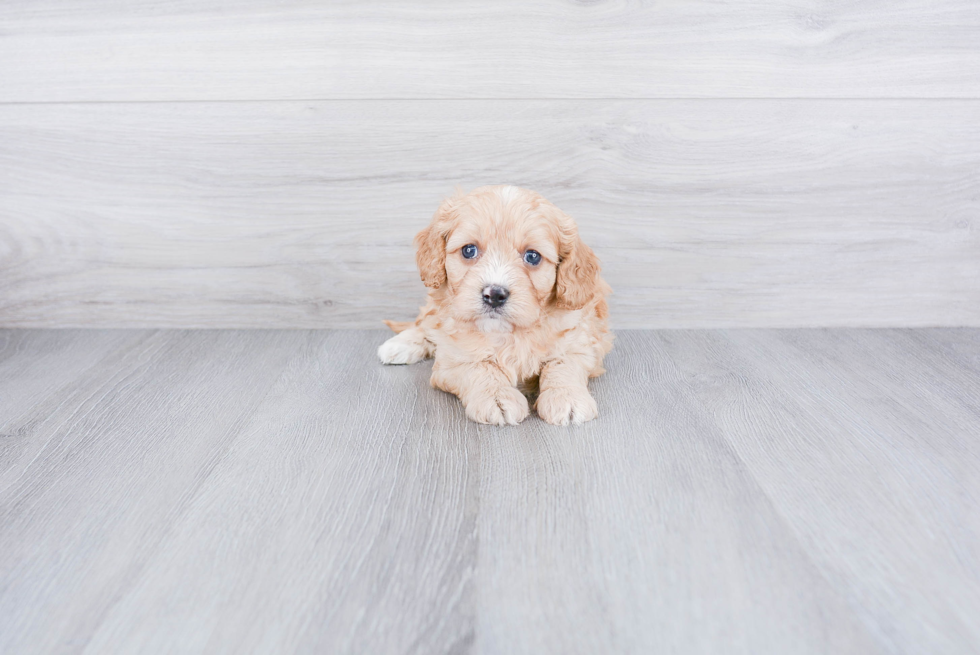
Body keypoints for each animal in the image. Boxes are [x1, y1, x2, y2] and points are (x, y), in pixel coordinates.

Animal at [378, 187, 612, 428]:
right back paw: (399, 345)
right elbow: (480, 366)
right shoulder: (452, 361)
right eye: (469, 250)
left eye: (532, 256)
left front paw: (567, 397)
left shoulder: (581, 344)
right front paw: (497, 397)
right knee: (425, 324)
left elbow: (563, 364)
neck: (507, 332)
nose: (495, 295)